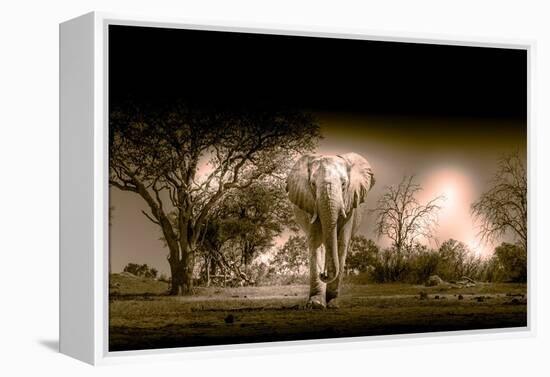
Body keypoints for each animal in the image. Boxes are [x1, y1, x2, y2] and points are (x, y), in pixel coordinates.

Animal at [288, 153, 376, 308]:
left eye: (343, 184)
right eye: (313, 184)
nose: (323, 274)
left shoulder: (350, 205)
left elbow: (341, 242)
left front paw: (333, 303)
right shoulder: (311, 204)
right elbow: (316, 241)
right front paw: (316, 304)